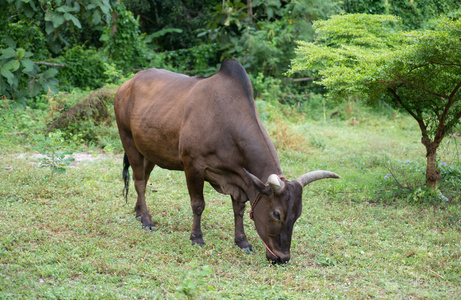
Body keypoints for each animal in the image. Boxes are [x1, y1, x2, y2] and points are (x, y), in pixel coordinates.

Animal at [115, 59, 338, 264]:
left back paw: (138, 212)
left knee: (143, 178)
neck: (224, 122)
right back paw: (146, 220)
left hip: (149, 150)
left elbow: (239, 209)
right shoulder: (193, 166)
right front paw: (197, 238)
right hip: (128, 141)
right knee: (140, 182)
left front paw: (242, 241)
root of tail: (129, 82)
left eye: (298, 214)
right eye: (276, 213)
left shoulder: (240, 179)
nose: (282, 258)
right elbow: (198, 205)